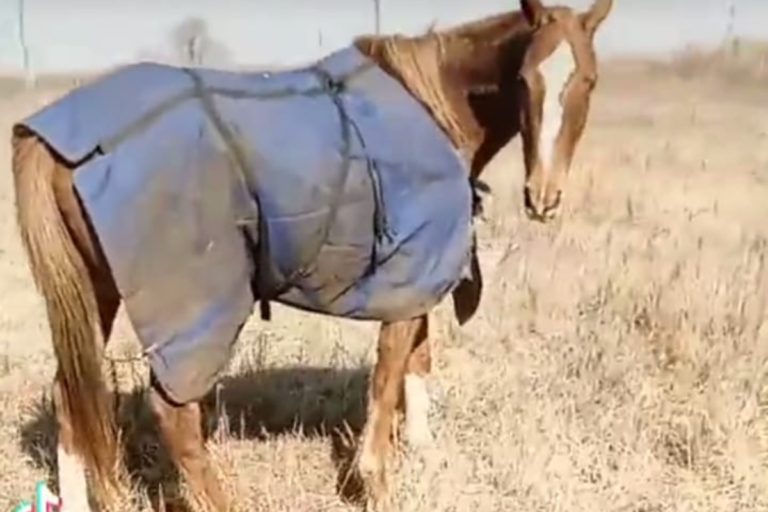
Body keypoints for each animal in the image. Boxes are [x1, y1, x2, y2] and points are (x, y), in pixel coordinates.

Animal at [10, 0, 612, 510]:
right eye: (525, 78)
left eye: (587, 79)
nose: (543, 196)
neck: (432, 104)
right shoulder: (409, 272)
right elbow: (390, 371)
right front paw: (375, 479)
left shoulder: (422, 276)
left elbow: (418, 359)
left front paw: (423, 451)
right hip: (192, 309)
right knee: (173, 412)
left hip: (95, 289)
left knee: (72, 397)